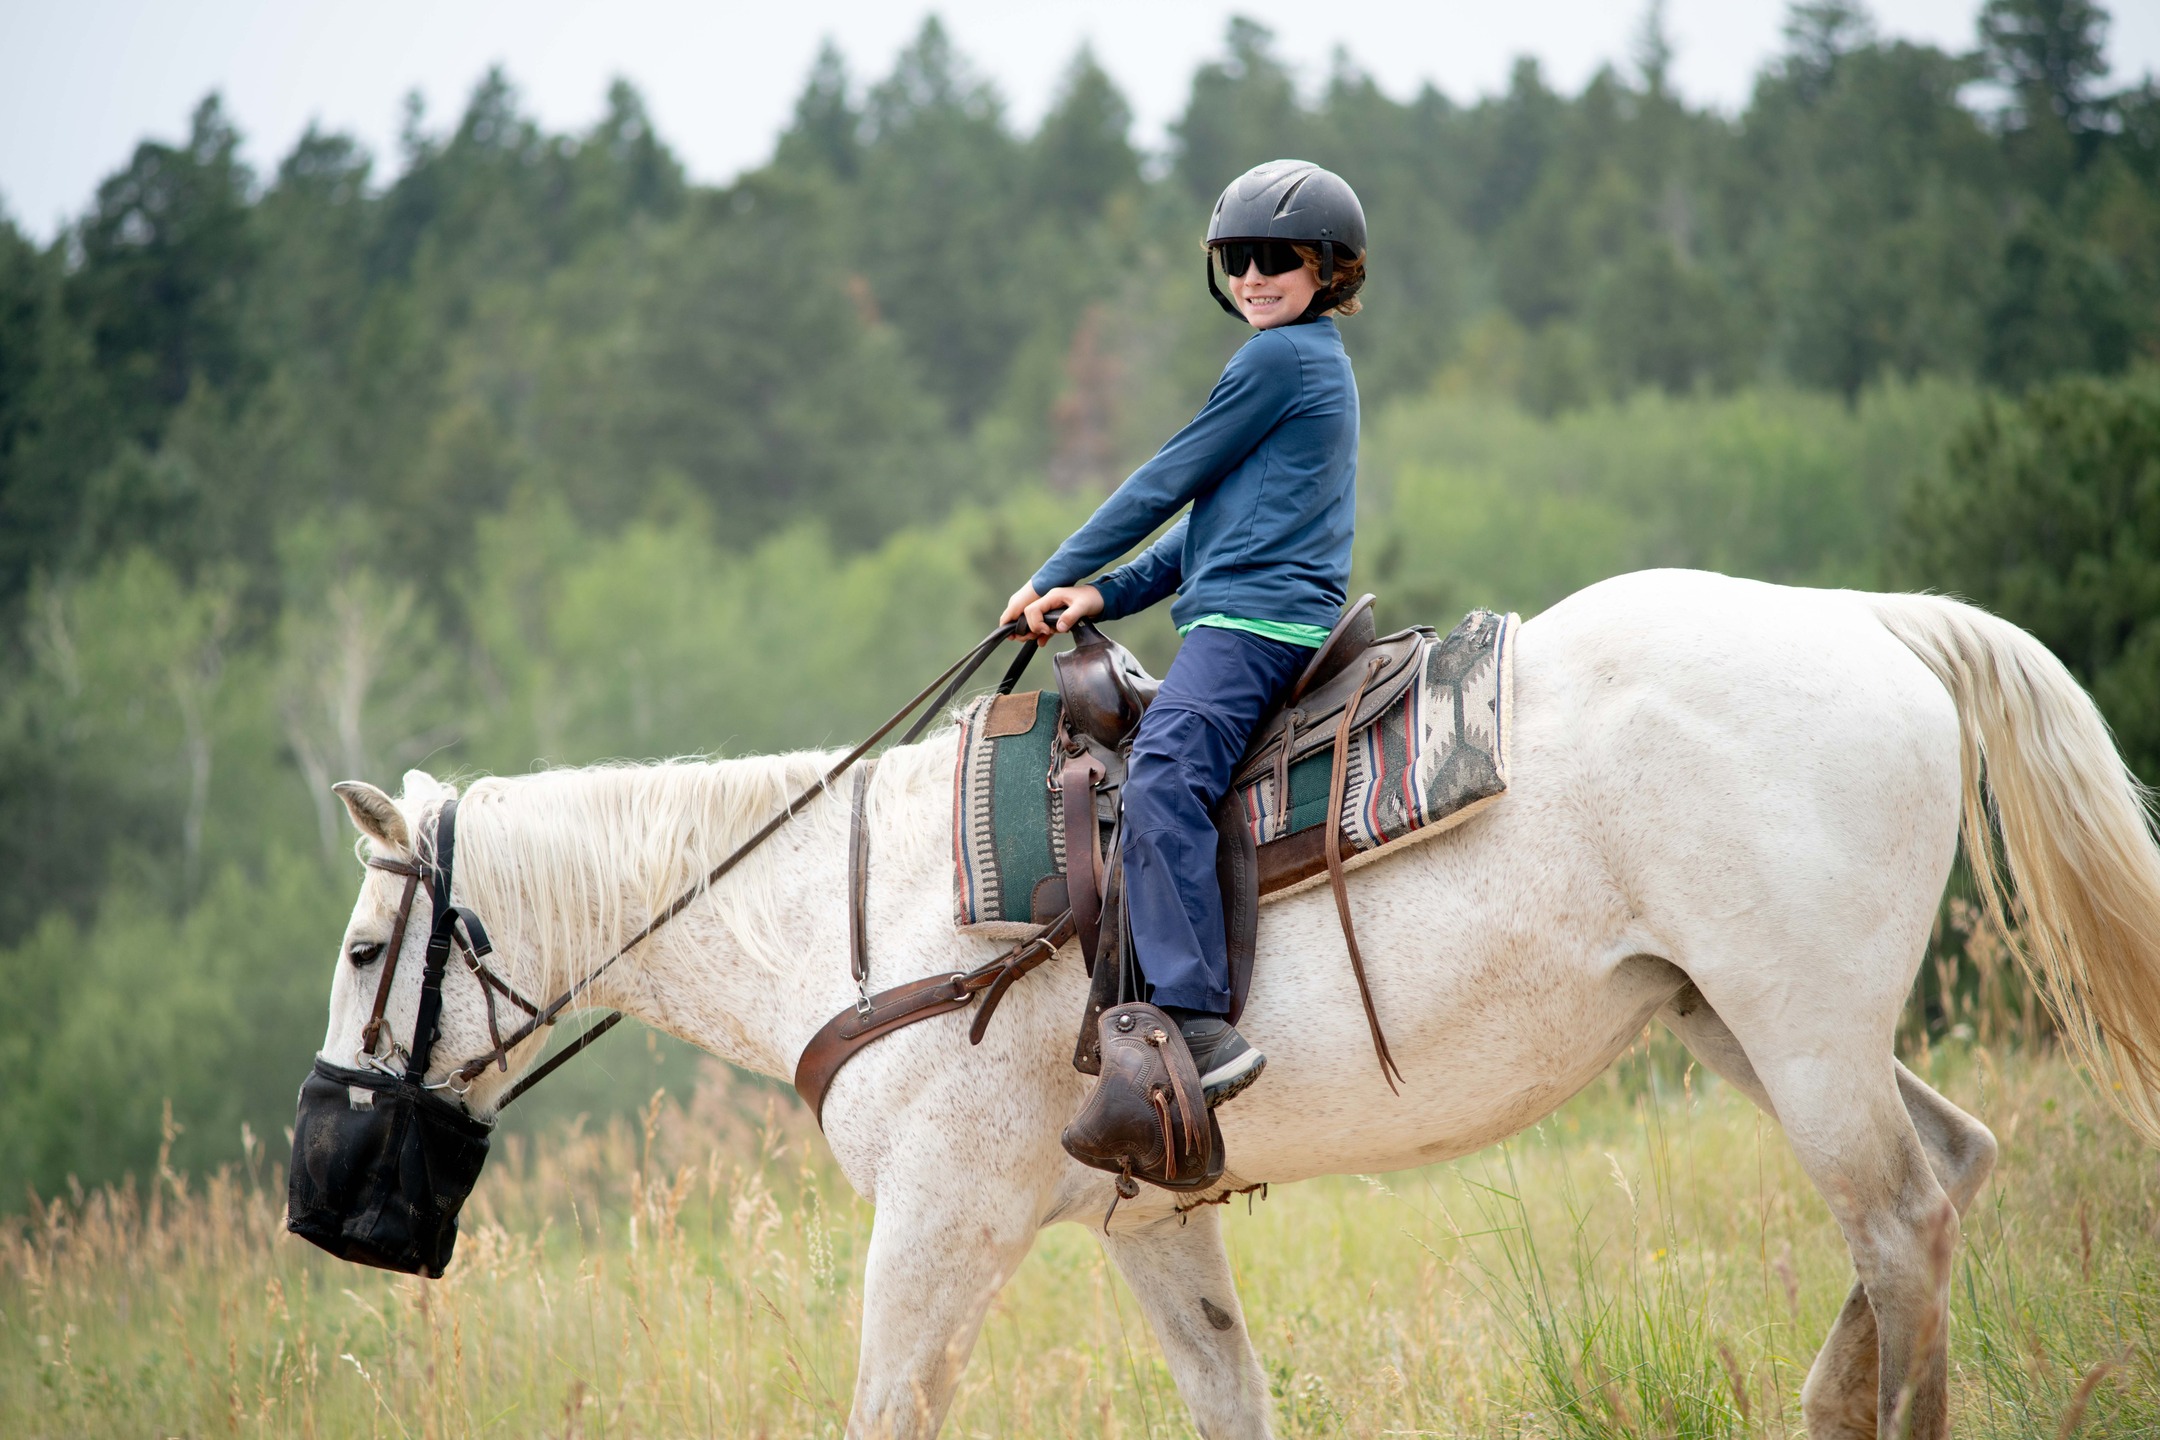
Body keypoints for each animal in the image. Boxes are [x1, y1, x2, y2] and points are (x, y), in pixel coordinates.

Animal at [314, 568, 2160, 1439]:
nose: (319, 1185)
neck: (845, 914)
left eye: (358, 953)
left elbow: (887, 1409)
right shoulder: (1151, 1222)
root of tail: (1871, 624)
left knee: (1904, 1219)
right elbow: (1230, 1398)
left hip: (1801, 1033)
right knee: (1944, 1178)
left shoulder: (938, 1227)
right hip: (1749, 1026)